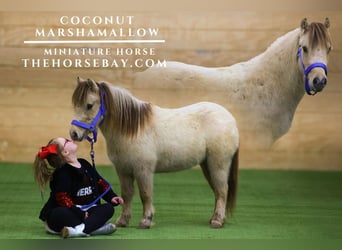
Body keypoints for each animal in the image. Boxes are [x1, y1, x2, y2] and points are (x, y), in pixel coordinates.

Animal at [70, 77, 240, 229]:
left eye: (89, 105)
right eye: (75, 104)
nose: (74, 134)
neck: (132, 130)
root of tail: (229, 118)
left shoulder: (143, 170)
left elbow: (145, 194)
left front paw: (146, 221)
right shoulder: (123, 170)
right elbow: (127, 194)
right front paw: (123, 221)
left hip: (218, 165)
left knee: (222, 190)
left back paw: (217, 221)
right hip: (207, 165)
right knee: (218, 191)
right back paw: (215, 218)